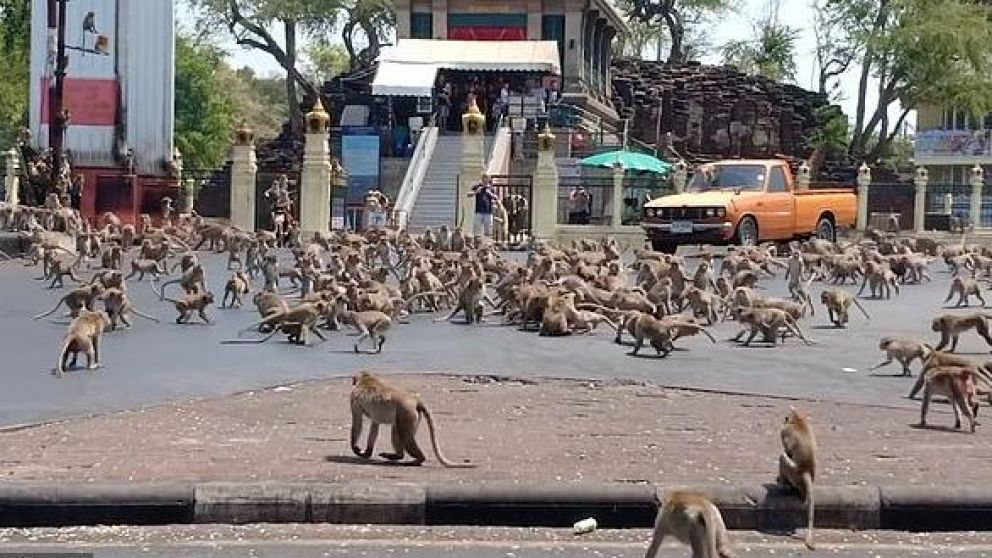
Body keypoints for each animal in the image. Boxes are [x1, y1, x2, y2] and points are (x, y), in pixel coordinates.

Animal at [777, 407, 816, 550]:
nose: (784, 418)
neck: (798, 418)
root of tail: (806, 470)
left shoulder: (784, 431)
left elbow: (787, 450)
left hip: (794, 473)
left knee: (783, 456)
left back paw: (783, 483)